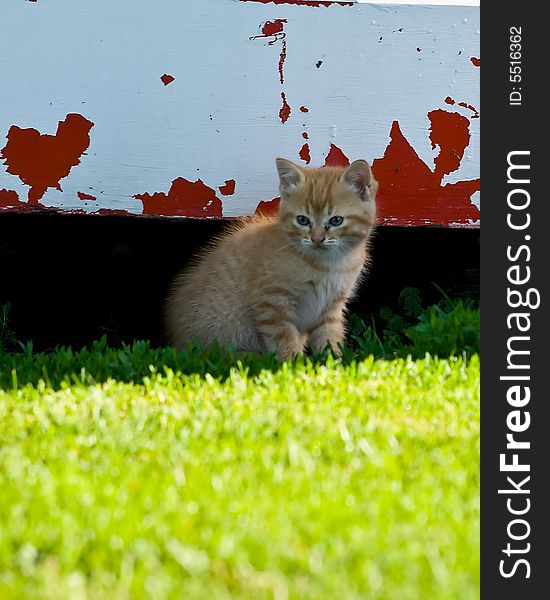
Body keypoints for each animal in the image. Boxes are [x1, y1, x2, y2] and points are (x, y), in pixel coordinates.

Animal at [165, 157, 380, 358]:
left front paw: (333, 362)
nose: (317, 239)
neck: (331, 264)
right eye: (302, 220)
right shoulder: (272, 303)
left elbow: (329, 335)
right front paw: (294, 364)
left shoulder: (331, 307)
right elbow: (284, 338)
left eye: (336, 220)